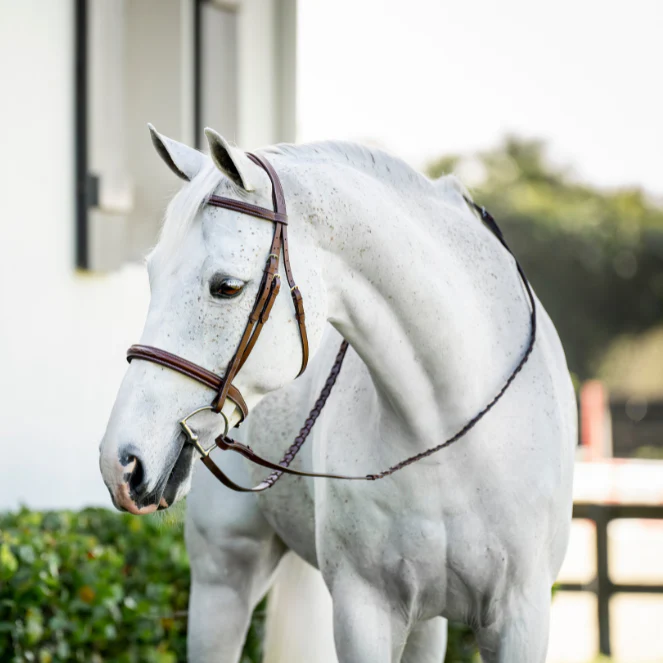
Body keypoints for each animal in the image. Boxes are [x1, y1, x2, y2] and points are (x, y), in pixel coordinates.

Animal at [99, 125, 576, 663]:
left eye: (226, 287)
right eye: (152, 275)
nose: (121, 463)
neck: (450, 433)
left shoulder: (521, 616)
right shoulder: (364, 610)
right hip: (224, 577)